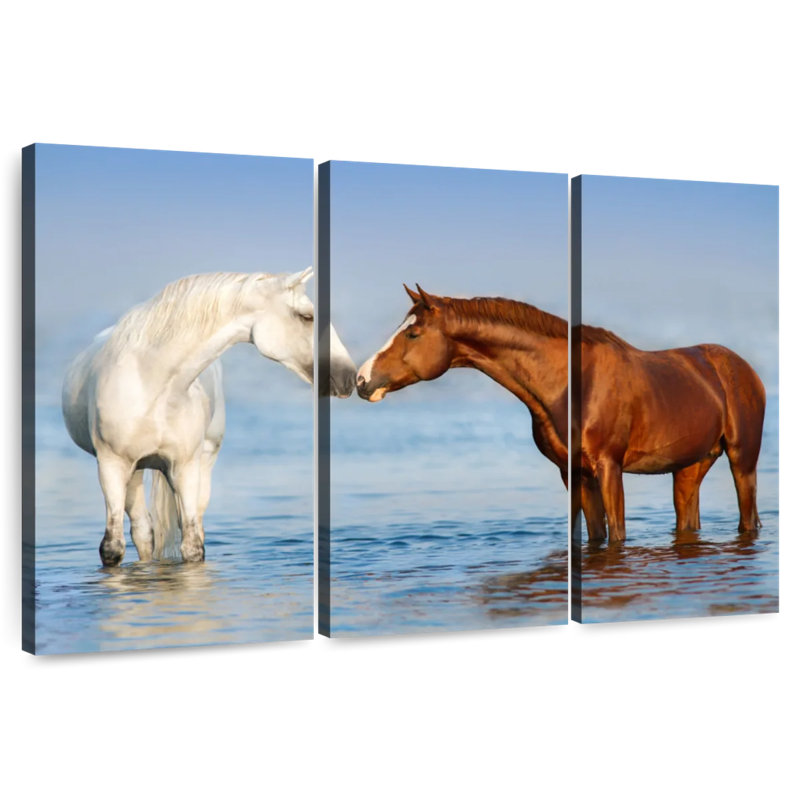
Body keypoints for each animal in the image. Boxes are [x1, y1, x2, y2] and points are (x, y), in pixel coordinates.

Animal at [62, 268, 357, 566]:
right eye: (307, 316)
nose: (349, 377)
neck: (152, 383)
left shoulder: (184, 467)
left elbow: (192, 546)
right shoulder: (111, 464)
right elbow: (112, 548)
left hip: (198, 463)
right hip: (134, 470)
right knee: (142, 530)